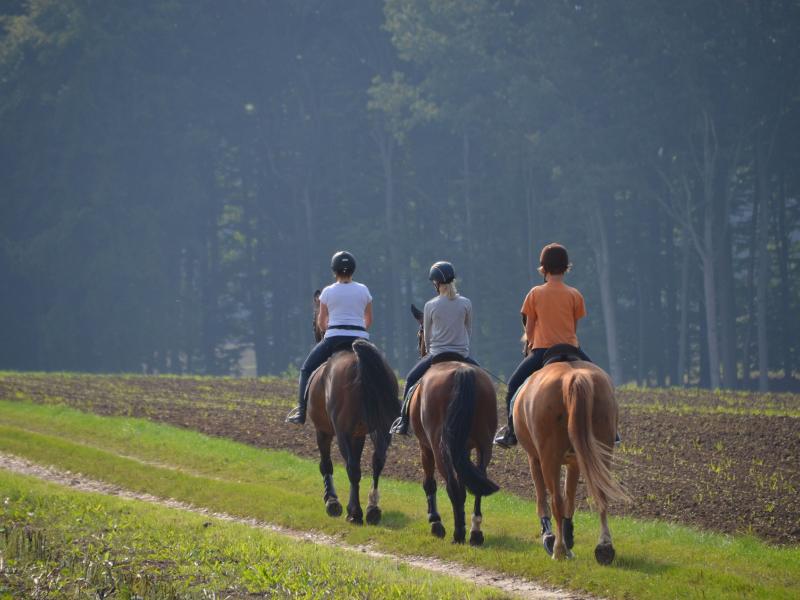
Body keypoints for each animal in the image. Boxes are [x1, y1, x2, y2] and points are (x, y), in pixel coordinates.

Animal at [304, 292, 398, 524]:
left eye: (313, 321)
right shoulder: (359, 434)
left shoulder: (323, 430)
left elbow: (326, 464)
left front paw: (331, 501)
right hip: (380, 429)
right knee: (377, 462)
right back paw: (372, 508)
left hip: (341, 431)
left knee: (352, 468)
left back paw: (354, 512)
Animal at [406, 304, 500, 544]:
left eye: (420, 333)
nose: (420, 348)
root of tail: (462, 372)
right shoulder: (464, 449)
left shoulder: (425, 446)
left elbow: (429, 482)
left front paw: (435, 521)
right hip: (483, 444)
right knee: (477, 483)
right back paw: (475, 532)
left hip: (439, 448)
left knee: (452, 485)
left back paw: (457, 533)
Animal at [512, 340, 632, 564]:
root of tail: (573, 377)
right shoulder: (575, 462)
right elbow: (570, 500)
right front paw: (569, 537)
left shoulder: (534, 459)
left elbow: (544, 500)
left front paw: (550, 538)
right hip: (600, 451)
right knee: (600, 495)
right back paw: (604, 547)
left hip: (549, 459)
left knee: (556, 501)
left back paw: (559, 550)